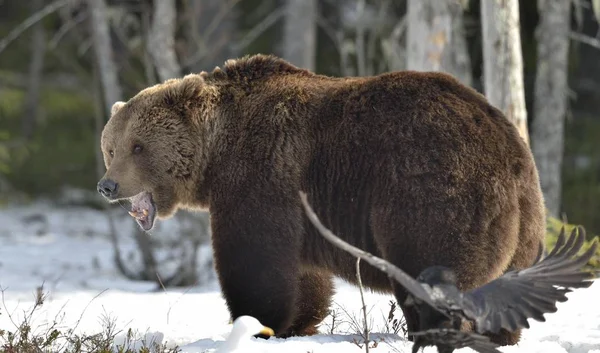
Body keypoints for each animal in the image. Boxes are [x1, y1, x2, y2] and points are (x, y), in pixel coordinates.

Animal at [97, 53, 548, 346]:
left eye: (138, 146)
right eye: (111, 147)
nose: (107, 185)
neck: (216, 152)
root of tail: (508, 147)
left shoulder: (260, 176)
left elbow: (253, 261)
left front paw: (256, 323)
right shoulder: (297, 209)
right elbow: (302, 275)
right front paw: (296, 325)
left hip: (432, 189)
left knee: (432, 268)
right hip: (527, 217)